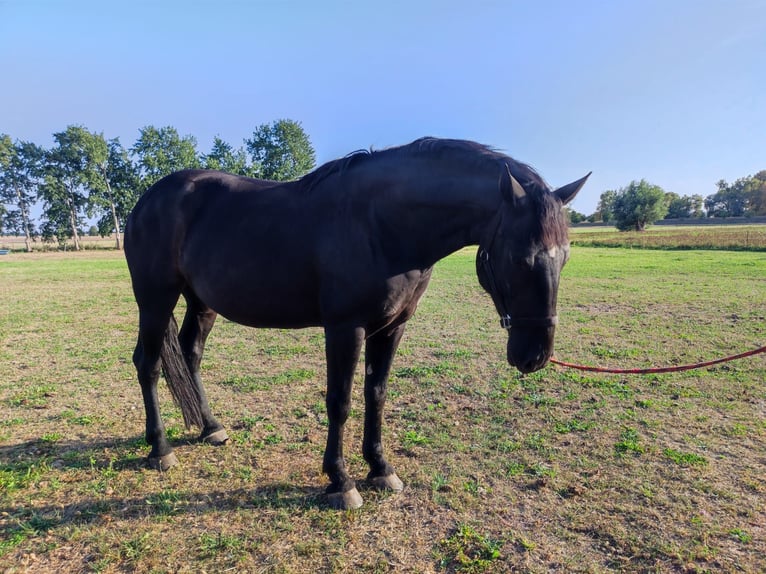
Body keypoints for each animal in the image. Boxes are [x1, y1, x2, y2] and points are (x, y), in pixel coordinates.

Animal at [123, 137, 592, 510]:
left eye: (566, 257)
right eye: (519, 258)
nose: (535, 356)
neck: (382, 224)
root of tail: (148, 199)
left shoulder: (392, 327)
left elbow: (376, 395)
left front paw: (380, 468)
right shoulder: (345, 328)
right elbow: (341, 401)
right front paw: (340, 481)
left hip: (201, 302)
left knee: (189, 354)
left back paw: (211, 428)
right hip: (155, 299)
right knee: (148, 363)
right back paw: (160, 448)